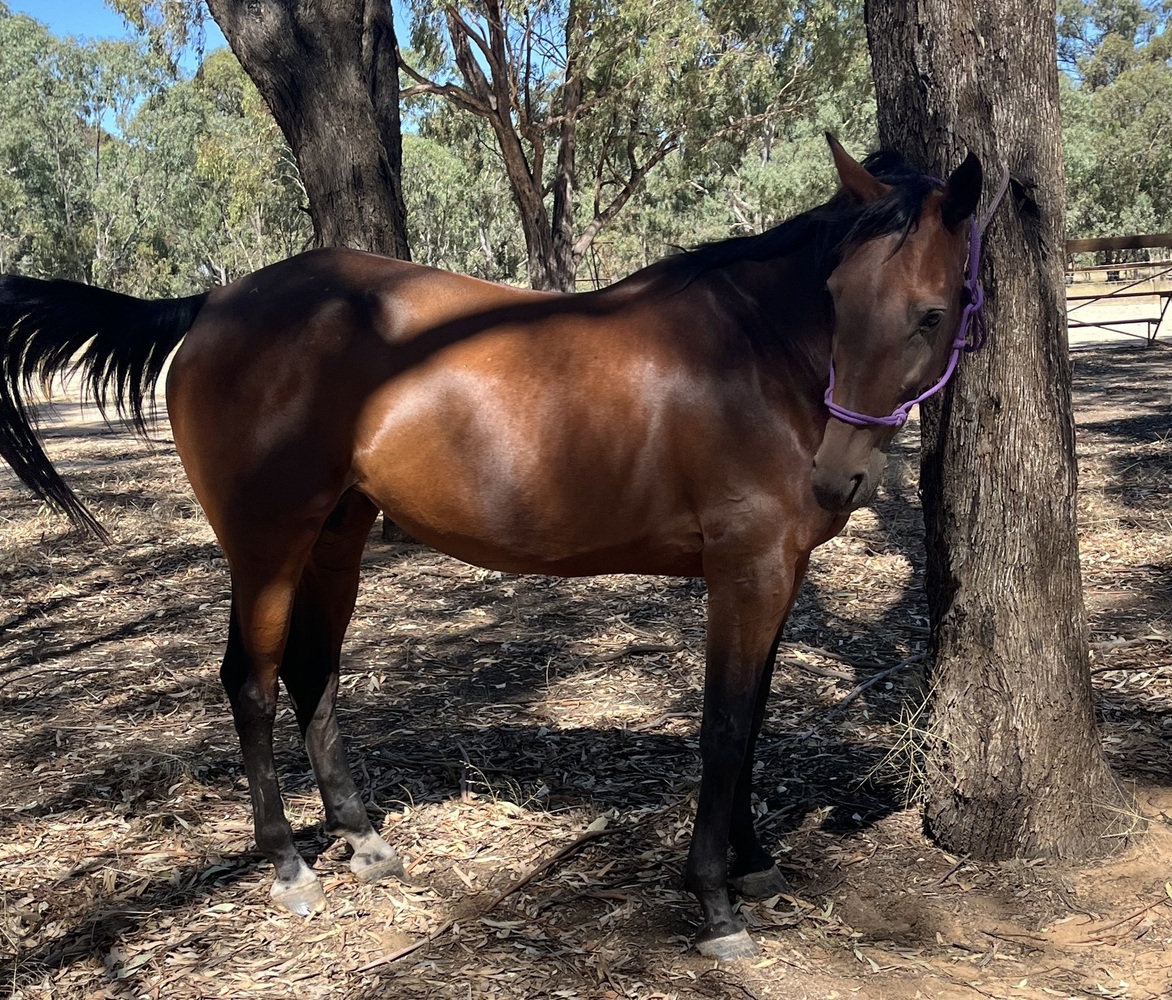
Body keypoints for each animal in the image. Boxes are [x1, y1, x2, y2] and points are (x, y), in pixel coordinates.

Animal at [0, 137, 983, 960]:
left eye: (931, 314)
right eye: (838, 300)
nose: (840, 477)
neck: (755, 356)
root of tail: (212, 301)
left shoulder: (778, 574)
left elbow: (752, 720)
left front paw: (755, 864)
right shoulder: (746, 572)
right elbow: (726, 727)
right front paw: (716, 902)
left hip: (336, 539)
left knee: (312, 672)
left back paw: (364, 840)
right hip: (267, 544)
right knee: (251, 679)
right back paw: (288, 867)